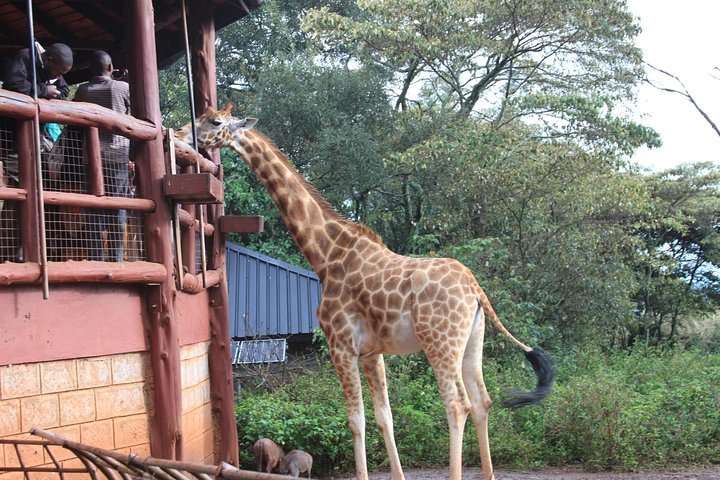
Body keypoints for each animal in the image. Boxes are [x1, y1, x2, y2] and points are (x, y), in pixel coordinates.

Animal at [179, 104, 552, 480]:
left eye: (214, 121)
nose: (180, 134)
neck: (326, 255)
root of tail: (475, 289)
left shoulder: (341, 345)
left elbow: (355, 421)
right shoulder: (373, 353)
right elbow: (385, 417)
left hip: (440, 343)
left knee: (456, 404)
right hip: (471, 343)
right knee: (481, 401)